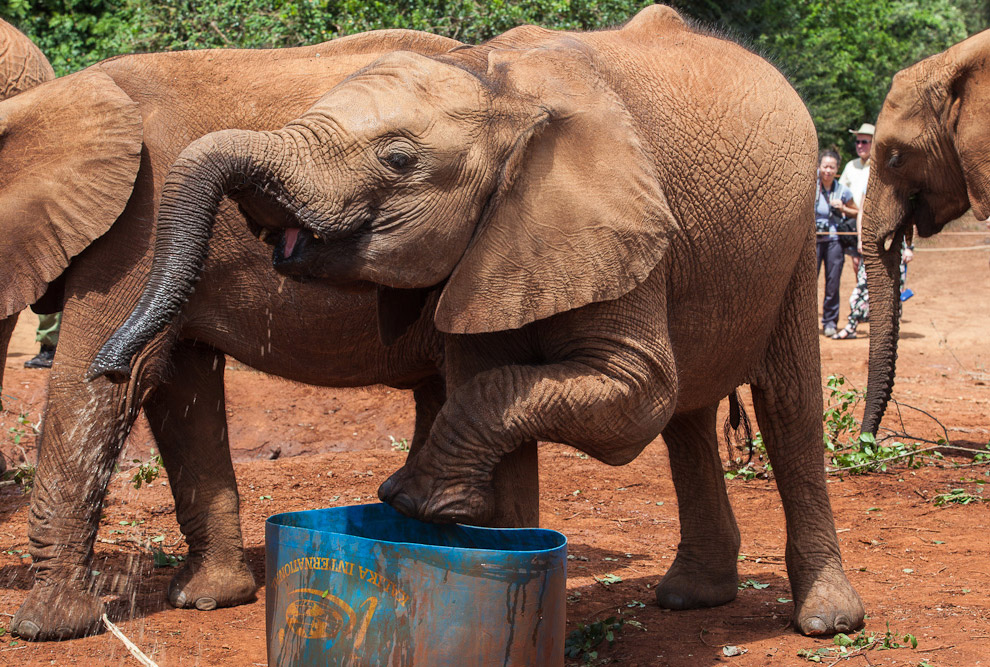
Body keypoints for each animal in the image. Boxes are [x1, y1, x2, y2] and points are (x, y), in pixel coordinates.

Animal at [0, 30, 464, 640]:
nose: (113, 359)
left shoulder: (133, 230)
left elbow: (98, 388)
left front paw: (46, 628)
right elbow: (180, 391)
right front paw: (209, 599)